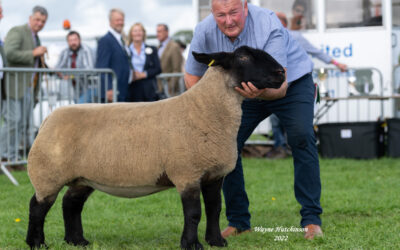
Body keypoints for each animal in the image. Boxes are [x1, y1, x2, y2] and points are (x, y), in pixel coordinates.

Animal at [25, 45, 284, 250]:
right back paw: (37, 243)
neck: (203, 109)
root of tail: (48, 118)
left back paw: (77, 241)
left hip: (83, 177)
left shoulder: (213, 174)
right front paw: (191, 244)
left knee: (71, 204)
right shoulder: (187, 173)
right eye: (243, 57)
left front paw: (217, 241)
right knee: (37, 206)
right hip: (48, 173)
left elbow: (214, 208)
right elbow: (194, 213)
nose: (282, 73)